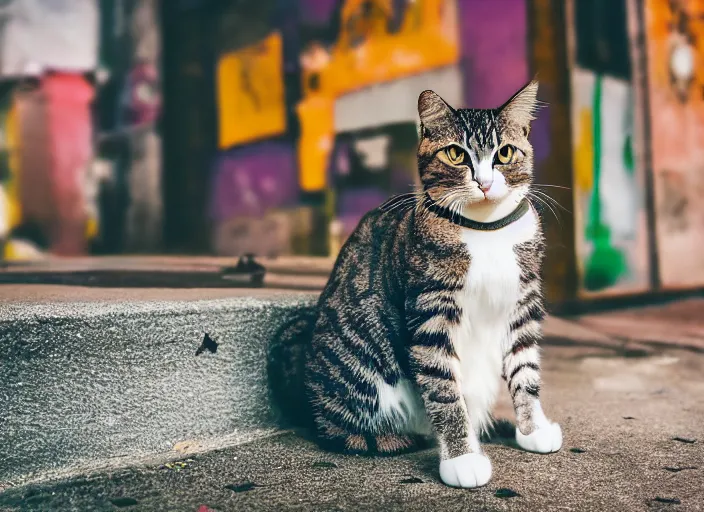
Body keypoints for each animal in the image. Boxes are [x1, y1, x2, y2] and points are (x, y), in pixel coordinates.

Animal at [270, 80, 560, 488]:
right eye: (455, 154)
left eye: (504, 153)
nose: (485, 183)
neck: (487, 230)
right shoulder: (431, 311)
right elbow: (444, 389)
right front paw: (462, 458)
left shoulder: (524, 302)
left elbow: (526, 372)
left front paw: (533, 430)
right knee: (338, 430)